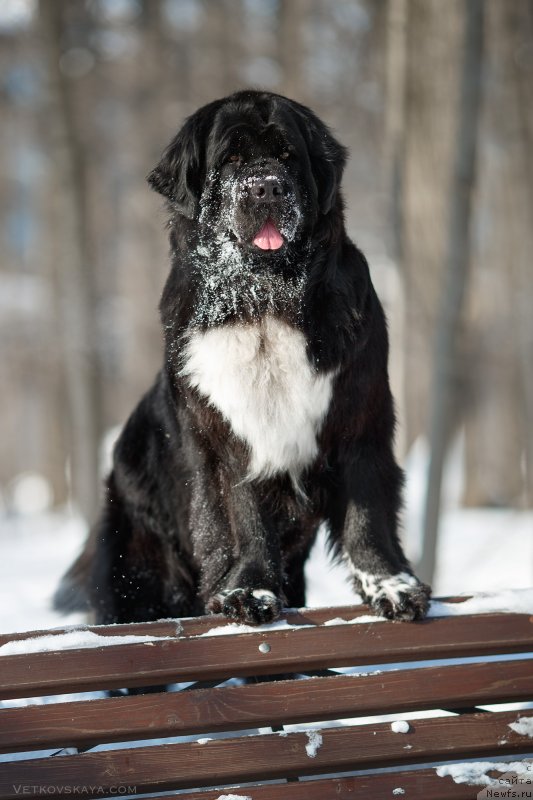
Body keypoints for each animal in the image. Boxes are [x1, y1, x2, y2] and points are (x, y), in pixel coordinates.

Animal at [56, 92, 430, 624]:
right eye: (231, 159)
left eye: (288, 155)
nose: (266, 187)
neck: (263, 302)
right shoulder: (222, 438)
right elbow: (243, 514)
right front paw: (248, 591)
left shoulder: (360, 417)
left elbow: (368, 514)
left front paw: (391, 585)